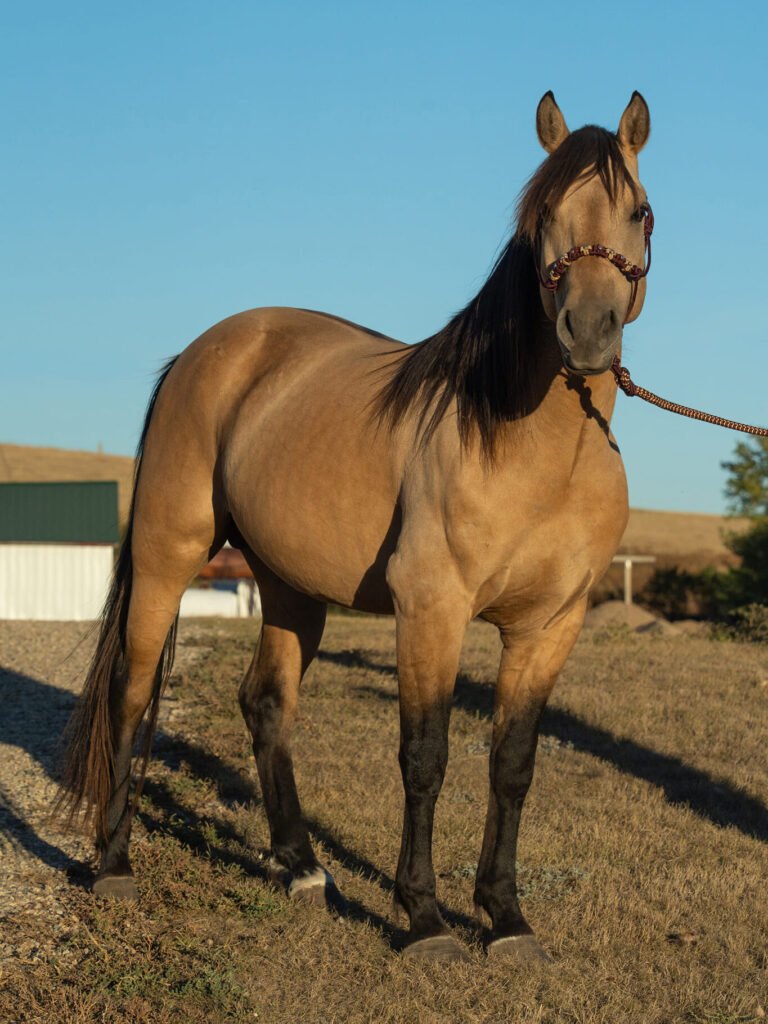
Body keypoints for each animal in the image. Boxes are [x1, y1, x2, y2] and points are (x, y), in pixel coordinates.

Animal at [59, 90, 653, 963]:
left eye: (639, 212)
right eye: (543, 214)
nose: (588, 330)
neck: (534, 450)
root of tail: (205, 351)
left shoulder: (550, 627)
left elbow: (512, 763)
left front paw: (506, 919)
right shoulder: (431, 611)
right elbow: (426, 756)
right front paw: (426, 919)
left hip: (291, 589)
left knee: (266, 705)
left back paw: (303, 869)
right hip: (169, 557)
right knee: (132, 696)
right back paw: (114, 866)